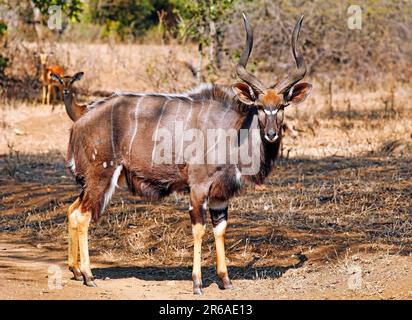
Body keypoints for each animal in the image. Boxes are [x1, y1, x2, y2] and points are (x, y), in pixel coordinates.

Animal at [63, 14, 312, 296]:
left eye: (282, 106)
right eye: (259, 106)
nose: (271, 134)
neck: (232, 130)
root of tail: (80, 121)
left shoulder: (220, 195)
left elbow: (220, 229)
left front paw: (226, 280)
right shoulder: (198, 186)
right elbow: (199, 229)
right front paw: (197, 283)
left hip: (90, 181)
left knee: (72, 210)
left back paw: (76, 271)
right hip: (101, 176)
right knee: (83, 216)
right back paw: (88, 275)